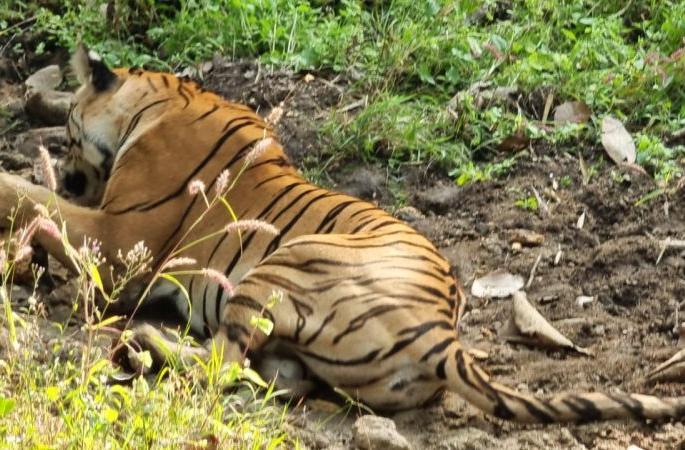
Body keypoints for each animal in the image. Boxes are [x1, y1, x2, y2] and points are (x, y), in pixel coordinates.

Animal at [0, 43, 683, 423]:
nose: (71, 174)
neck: (161, 99)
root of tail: (444, 335)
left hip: (283, 264)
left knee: (222, 366)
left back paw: (143, 344)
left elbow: (29, 196)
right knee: (267, 375)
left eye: (67, 125)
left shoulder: (121, 240)